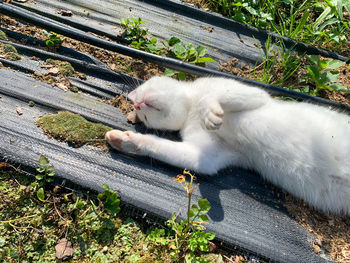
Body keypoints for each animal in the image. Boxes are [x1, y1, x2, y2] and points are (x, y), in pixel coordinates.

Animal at [105, 76, 350, 217]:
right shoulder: (208, 157)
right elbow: (167, 150)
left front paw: (210, 113)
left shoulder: (255, 94)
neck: (189, 110)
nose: (137, 103)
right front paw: (126, 141)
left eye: (144, 89)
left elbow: (214, 96)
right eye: (144, 117)